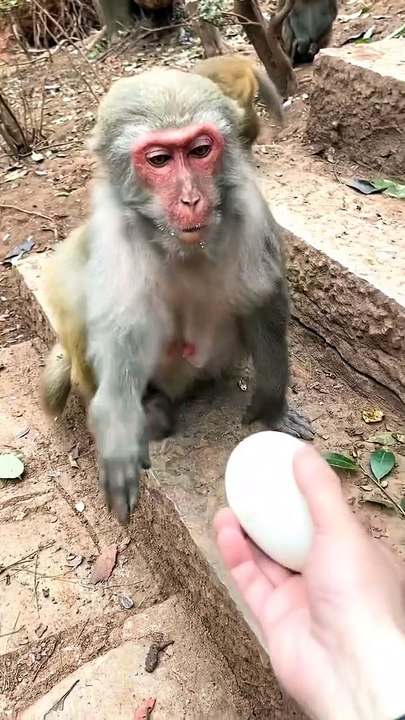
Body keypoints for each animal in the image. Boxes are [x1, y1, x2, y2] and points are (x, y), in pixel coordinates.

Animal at [40, 69, 314, 524]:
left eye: (200, 150)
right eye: (159, 160)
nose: (191, 199)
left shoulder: (249, 206)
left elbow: (262, 298)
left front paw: (271, 405)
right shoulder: (115, 229)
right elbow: (120, 326)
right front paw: (118, 425)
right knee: (75, 295)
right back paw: (151, 407)